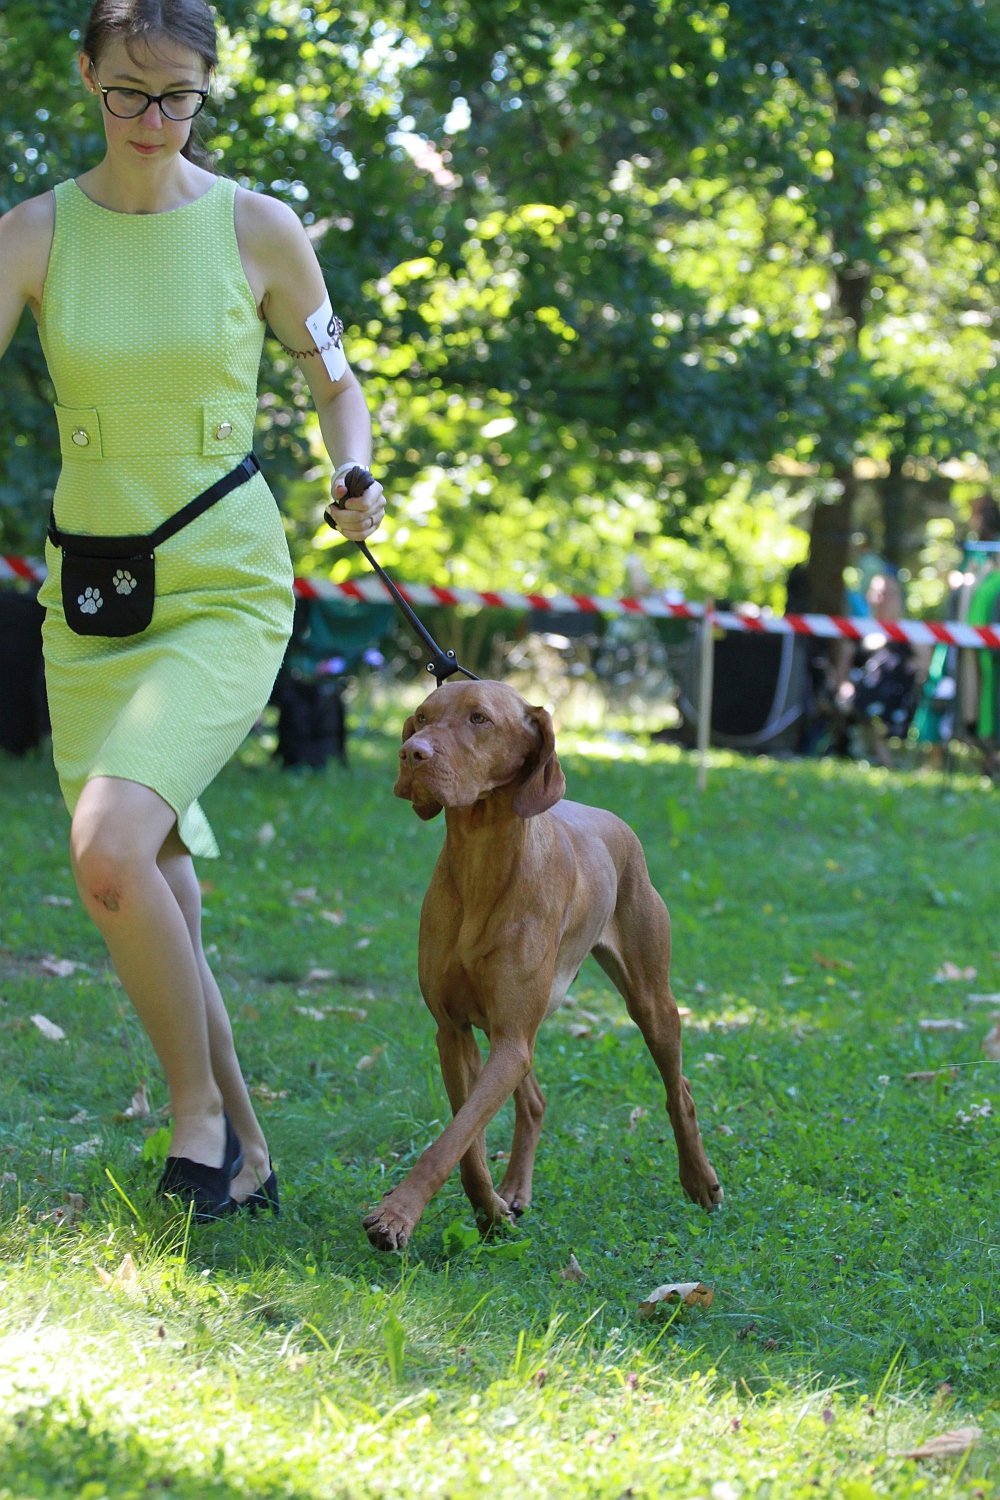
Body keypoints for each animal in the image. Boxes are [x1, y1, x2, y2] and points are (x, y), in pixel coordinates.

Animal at [363, 679, 723, 1251]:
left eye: (480, 719)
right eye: (420, 717)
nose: (411, 754)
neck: (481, 862)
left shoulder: (509, 1035)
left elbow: (451, 1139)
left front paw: (397, 1215)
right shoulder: (456, 1031)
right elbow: (466, 1141)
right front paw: (489, 1210)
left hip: (650, 1002)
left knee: (679, 1090)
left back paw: (698, 1179)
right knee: (533, 1102)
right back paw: (514, 1190)